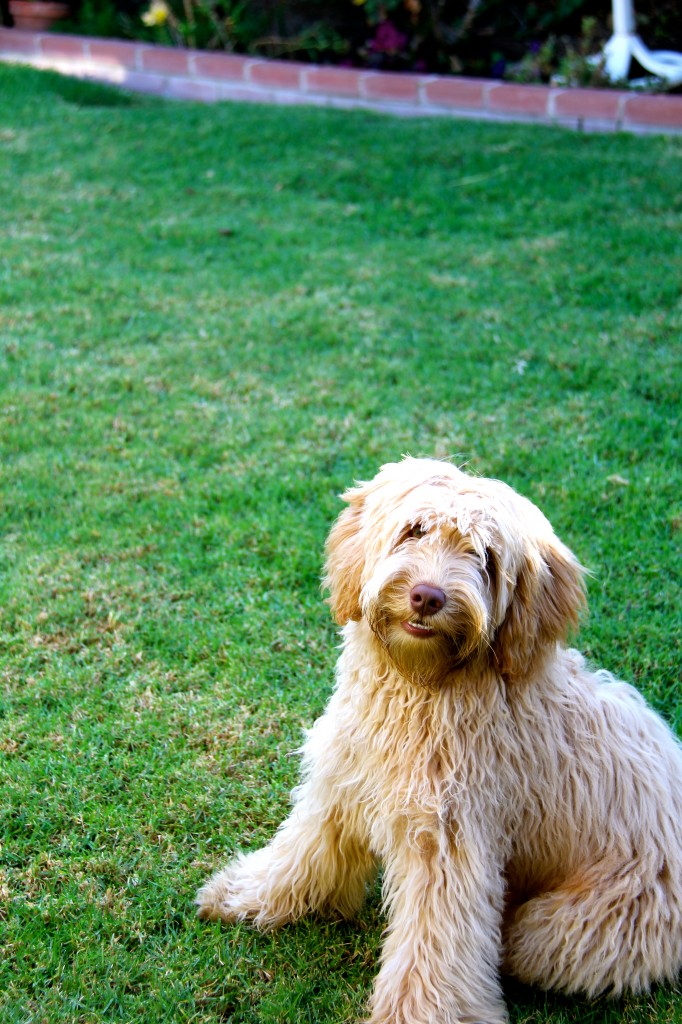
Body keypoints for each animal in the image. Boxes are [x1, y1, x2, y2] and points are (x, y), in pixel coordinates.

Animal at [196, 458, 679, 1024]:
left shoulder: (449, 836)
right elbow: (303, 849)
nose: (428, 596)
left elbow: (435, 937)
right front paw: (244, 895)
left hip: (581, 924)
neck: (424, 686)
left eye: (486, 558)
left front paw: (419, 1014)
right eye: (415, 530)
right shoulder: (343, 779)